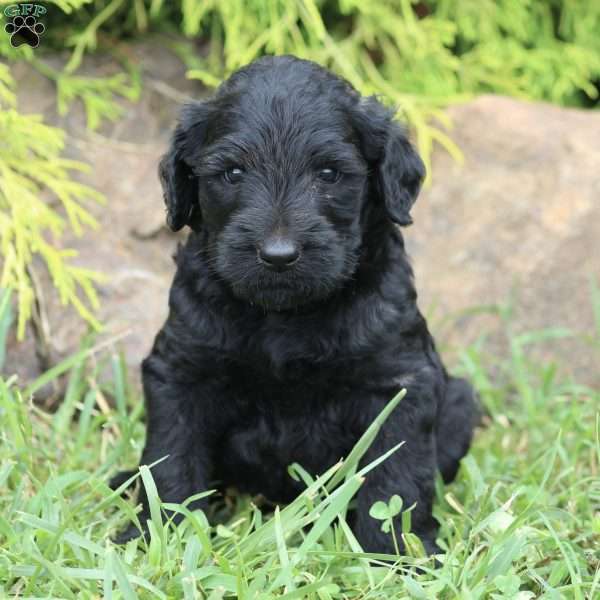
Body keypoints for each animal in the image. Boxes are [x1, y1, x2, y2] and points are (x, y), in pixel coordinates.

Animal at [113, 55, 478, 552]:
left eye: (328, 174)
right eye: (233, 173)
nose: (279, 255)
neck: (283, 317)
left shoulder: (400, 381)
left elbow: (397, 480)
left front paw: (396, 552)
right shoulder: (181, 371)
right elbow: (171, 457)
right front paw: (156, 536)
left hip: (459, 401)